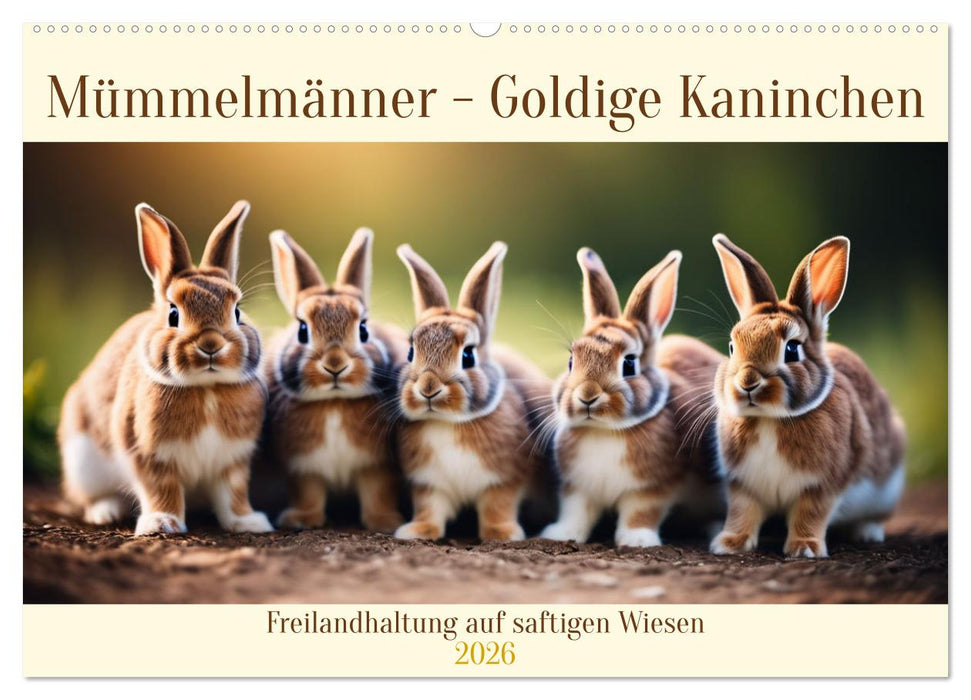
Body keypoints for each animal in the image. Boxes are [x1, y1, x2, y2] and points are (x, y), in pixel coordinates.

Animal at [58, 201, 273, 536]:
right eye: (173, 314)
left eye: (237, 312)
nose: (211, 344)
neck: (206, 389)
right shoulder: (147, 454)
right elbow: (161, 489)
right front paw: (161, 524)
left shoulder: (233, 460)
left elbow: (233, 493)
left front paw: (248, 522)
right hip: (82, 461)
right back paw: (105, 512)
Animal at [264, 228, 408, 532]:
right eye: (302, 330)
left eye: (363, 329)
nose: (335, 365)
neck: (334, 402)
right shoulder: (303, 467)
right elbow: (308, 493)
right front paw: (302, 520)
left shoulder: (377, 466)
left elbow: (377, 492)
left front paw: (385, 522)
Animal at [393, 242, 552, 541]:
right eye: (410, 352)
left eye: (468, 355)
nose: (428, 387)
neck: (448, 422)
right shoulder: (429, 484)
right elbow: (430, 508)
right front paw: (417, 531)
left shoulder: (504, 481)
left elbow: (497, 506)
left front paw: (502, 533)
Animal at [539, 248, 726, 548]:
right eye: (571, 361)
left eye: (629, 364)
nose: (587, 396)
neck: (604, 431)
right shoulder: (578, 489)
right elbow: (576, 512)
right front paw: (559, 533)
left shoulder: (653, 488)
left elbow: (640, 512)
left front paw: (637, 540)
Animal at [709, 234, 906, 558]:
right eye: (731, 347)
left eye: (791, 349)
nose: (748, 382)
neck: (769, 419)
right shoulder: (742, 485)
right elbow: (742, 513)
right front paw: (728, 544)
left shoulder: (823, 485)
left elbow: (809, 514)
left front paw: (804, 549)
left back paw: (868, 533)